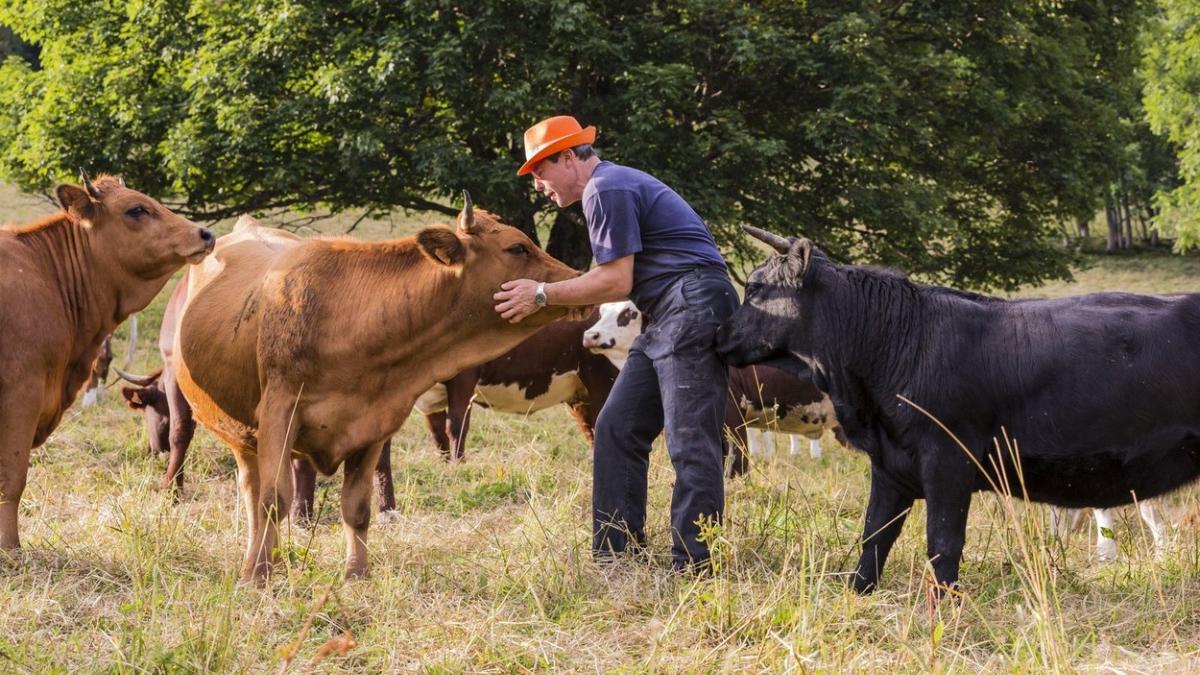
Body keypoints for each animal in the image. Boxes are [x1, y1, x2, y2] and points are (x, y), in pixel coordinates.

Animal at [171, 193, 578, 578]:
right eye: (517, 247)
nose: (575, 274)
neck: (347, 317)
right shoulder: (278, 413)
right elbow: (274, 501)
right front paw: (257, 576)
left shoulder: (374, 425)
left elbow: (358, 507)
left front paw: (356, 574)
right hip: (241, 435)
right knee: (254, 498)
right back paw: (256, 562)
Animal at [412, 309, 619, 456]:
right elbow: (438, 434)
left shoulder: (464, 378)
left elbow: (456, 427)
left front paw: (458, 468)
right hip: (581, 395)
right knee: (591, 431)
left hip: (603, 379)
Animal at [715, 223, 1200, 590]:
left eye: (755, 288)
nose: (718, 334)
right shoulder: (891, 463)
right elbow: (875, 537)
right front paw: (858, 595)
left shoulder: (948, 460)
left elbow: (943, 544)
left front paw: (945, 610)